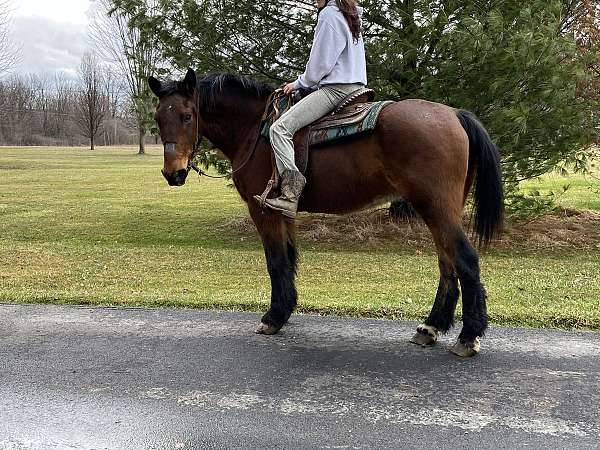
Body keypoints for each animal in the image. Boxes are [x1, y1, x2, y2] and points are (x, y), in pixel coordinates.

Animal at [149, 68, 502, 356]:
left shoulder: (262, 211)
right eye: (158, 118)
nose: (172, 173)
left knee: (465, 259)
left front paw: (273, 318)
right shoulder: (283, 210)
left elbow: (276, 261)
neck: (254, 128)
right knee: (448, 263)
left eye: (187, 116)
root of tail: (454, 114)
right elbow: (289, 259)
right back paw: (431, 327)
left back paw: (468, 337)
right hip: (438, 210)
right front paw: (286, 310)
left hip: (436, 209)